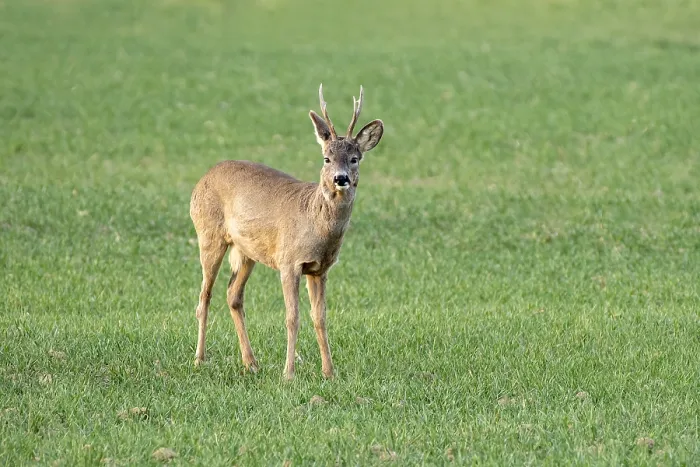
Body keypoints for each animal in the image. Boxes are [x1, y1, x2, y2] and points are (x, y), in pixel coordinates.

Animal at [189, 84, 384, 380]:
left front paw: (329, 373)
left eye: (354, 158)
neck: (315, 222)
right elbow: (292, 318)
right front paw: (288, 374)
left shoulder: (319, 269)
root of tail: (202, 179)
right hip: (208, 234)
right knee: (204, 296)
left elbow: (320, 318)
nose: (340, 178)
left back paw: (251, 363)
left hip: (246, 251)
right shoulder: (288, 261)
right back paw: (200, 359)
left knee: (233, 295)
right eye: (326, 158)